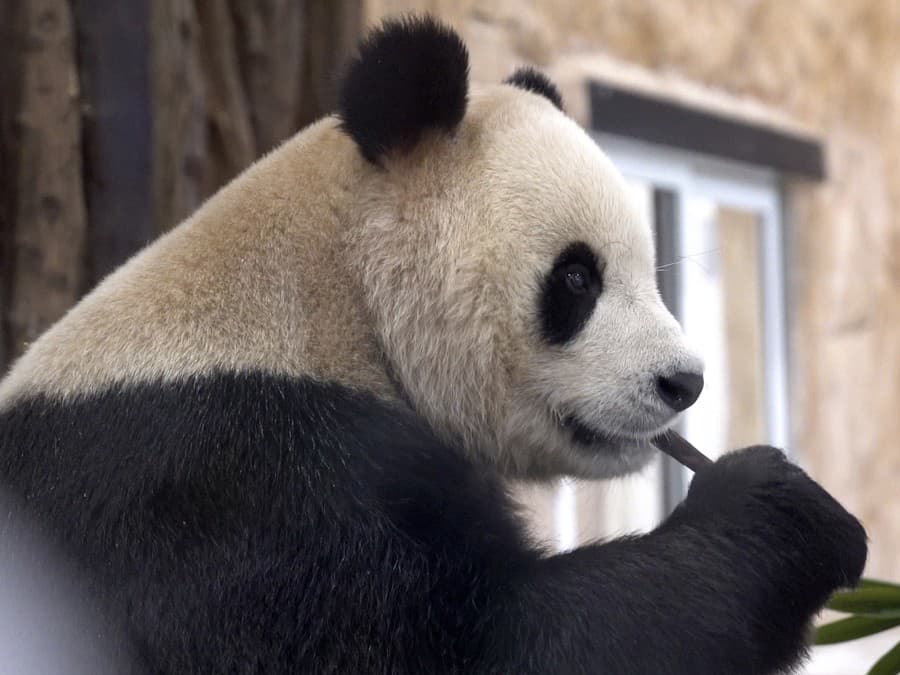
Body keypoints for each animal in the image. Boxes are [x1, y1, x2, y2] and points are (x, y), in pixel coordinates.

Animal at [0, 16, 866, 674]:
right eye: (577, 278)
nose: (682, 383)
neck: (328, 294)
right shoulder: (227, 483)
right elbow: (486, 644)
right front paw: (788, 512)